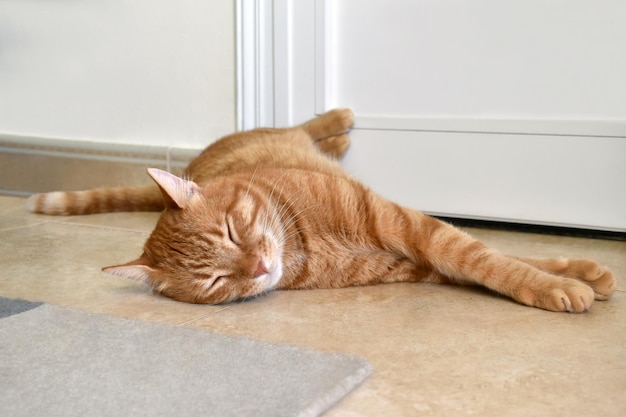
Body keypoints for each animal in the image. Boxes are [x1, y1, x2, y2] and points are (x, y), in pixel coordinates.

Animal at [25, 109, 616, 310]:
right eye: (216, 281)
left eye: (233, 231)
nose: (260, 267)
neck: (304, 242)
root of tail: (196, 158)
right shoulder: (419, 263)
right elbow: (493, 261)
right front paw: (570, 277)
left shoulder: (407, 224)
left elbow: (492, 255)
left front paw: (570, 276)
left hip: (278, 132)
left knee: (303, 125)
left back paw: (339, 120)